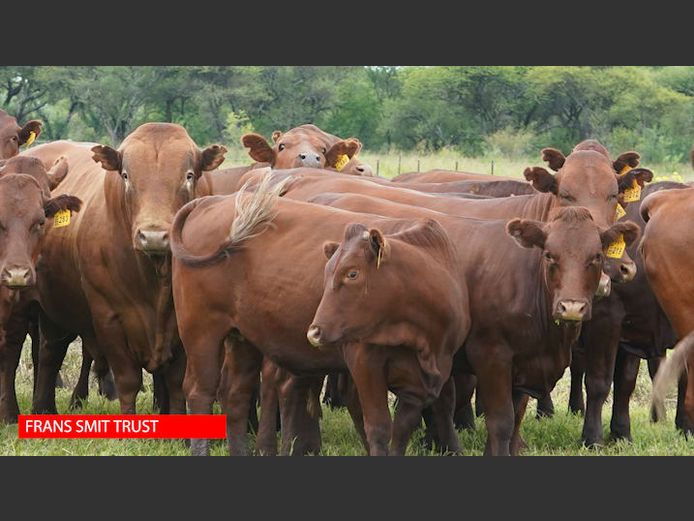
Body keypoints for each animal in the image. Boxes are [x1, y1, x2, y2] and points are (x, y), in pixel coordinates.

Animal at [26, 123, 228, 414]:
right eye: (125, 175)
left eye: (189, 175)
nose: (153, 236)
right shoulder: (109, 318)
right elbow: (128, 381)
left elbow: (176, 383)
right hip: (54, 308)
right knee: (50, 352)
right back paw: (44, 407)